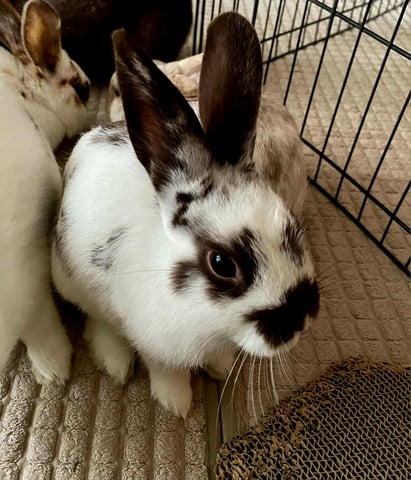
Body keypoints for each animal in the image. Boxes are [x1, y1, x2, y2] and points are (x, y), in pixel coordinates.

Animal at [51, 12, 320, 417]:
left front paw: (220, 369)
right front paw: (176, 403)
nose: (300, 319)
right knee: (98, 318)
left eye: (291, 226)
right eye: (222, 264)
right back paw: (115, 361)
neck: (214, 324)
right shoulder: (155, 341)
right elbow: (165, 370)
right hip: (72, 279)